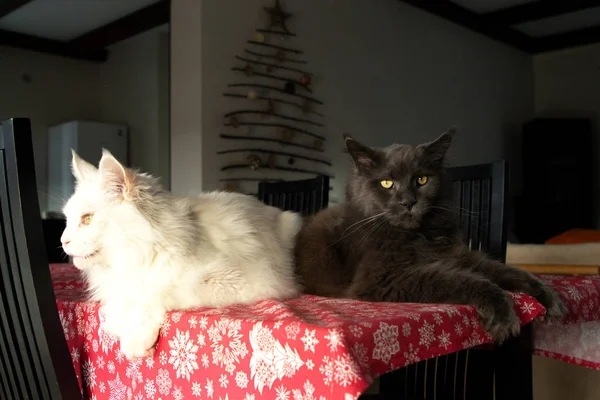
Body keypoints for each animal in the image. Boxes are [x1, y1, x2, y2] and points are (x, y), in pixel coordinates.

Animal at [60, 149, 302, 360]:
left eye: (87, 219)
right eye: (68, 220)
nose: (63, 241)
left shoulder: (236, 281)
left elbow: (153, 296)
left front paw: (136, 339)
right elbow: (113, 310)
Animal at [296, 130, 568, 340]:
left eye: (422, 179)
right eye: (387, 183)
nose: (408, 202)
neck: (420, 235)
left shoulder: (458, 256)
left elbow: (509, 272)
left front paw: (550, 298)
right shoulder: (382, 278)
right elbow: (465, 280)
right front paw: (502, 313)